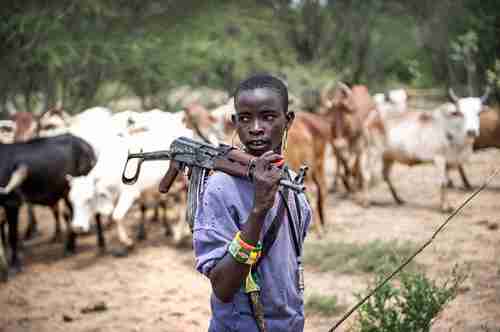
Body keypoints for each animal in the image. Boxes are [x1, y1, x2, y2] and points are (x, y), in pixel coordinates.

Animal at [0, 134, 96, 276]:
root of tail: (85, 144)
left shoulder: (12, 203)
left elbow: (12, 236)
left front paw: (15, 266)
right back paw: (69, 246)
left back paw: (69, 248)